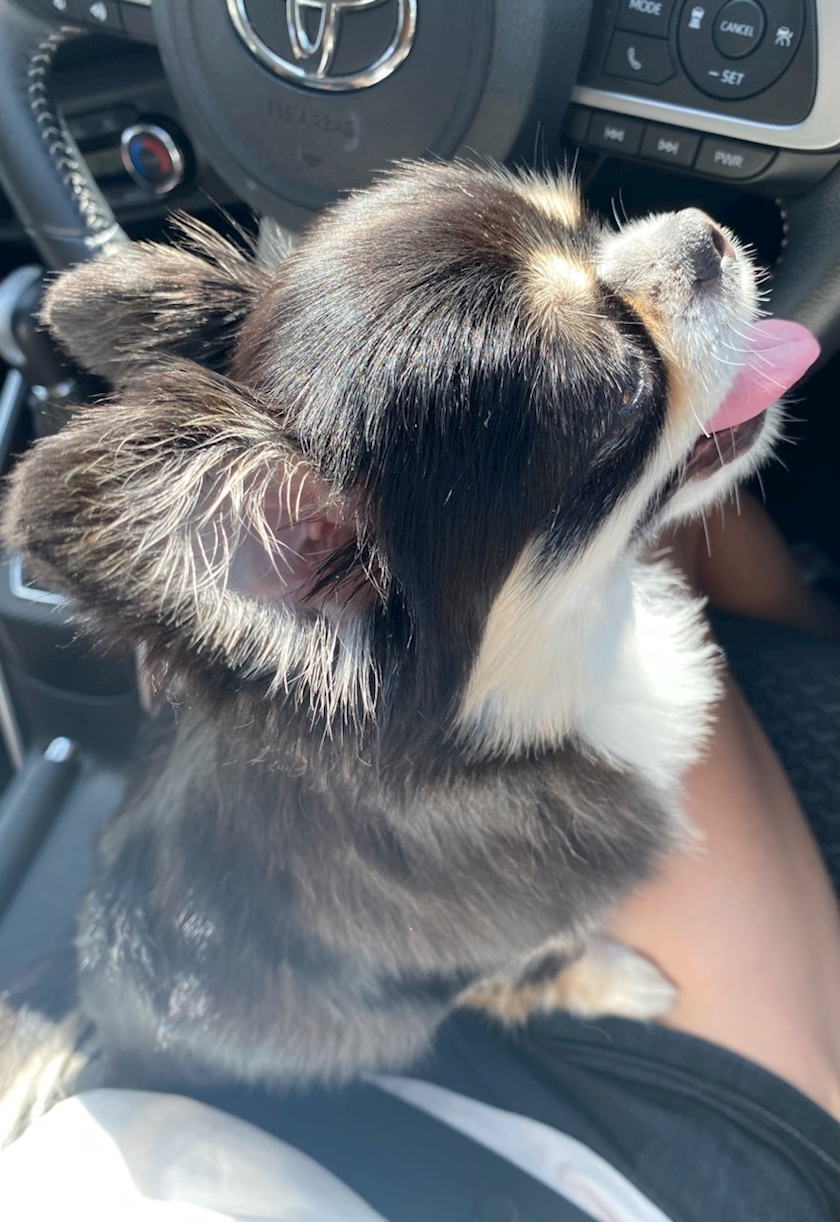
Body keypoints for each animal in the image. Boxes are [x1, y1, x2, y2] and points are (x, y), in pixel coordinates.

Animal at [0, 161, 780, 1134]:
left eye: (588, 222)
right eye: (624, 391)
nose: (706, 232)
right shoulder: (476, 962)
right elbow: (548, 966)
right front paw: (616, 982)